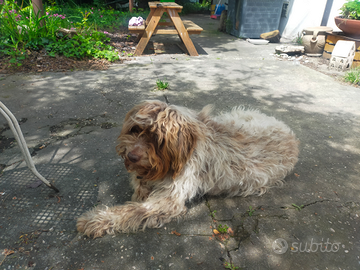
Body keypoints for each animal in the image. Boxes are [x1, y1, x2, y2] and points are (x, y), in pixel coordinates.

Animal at [76, 100, 298, 237]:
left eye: (157, 139)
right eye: (136, 129)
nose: (131, 156)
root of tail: (289, 132)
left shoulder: (169, 200)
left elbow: (131, 211)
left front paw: (95, 220)